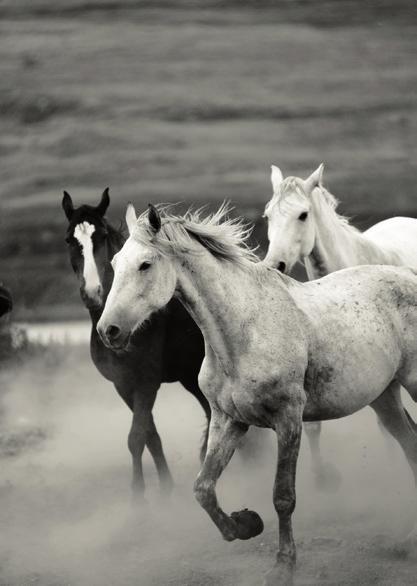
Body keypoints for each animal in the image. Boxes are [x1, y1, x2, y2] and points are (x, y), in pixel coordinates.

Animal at [60, 189, 210, 500]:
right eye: (69, 239)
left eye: (103, 236)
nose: (92, 293)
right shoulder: (123, 385)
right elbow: (150, 436)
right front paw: (165, 487)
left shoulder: (146, 383)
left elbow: (136, 437)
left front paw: (138, 497)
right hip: (190, 377)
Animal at [98, 202, 417, 584]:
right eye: (115, 262)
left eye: (145, 264)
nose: (108, 330)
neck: (242, 333)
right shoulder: (228, 420)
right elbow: (203, 488)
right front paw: (245, 524)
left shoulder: (288, 420)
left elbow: (283, 496)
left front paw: (283, 565)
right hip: (384, 397)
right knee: (411, 445)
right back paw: (410, 538)